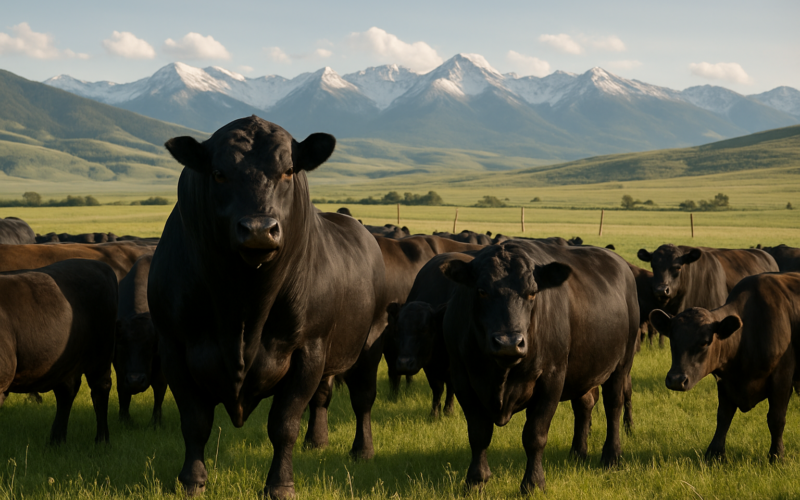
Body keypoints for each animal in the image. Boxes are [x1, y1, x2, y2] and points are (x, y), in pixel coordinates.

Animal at [0, 259, 118, 443]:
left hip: (101, 354)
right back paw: (56, 439)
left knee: (100, 389)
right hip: (64, 362)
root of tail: (99, 264)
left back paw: (102, 440)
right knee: (66, 391)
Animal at [115, 254, 166, 426]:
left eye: (151, 346)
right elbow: (123, 390)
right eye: (123, 344)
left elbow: (159, 388)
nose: (136, 380)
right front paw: (124, 419)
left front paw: (156, 422)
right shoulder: (119, 366)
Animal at [148, 116, 387, 499]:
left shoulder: (307, 349)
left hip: (369, 343)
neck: (244, 311)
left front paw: (280, 484)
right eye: (218, 173)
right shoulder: (175, 348)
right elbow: (195, 421)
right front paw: (191, 480)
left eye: (288, 170)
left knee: (363, 398)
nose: (259, 229)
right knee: (322, 397)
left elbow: (283, 424)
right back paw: (316, 441)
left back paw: (362, 450)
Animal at [441, 241, 639, 493]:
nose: (509, 343)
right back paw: (578, 453)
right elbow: (478, 433)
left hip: (621, 365)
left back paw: (611, 457)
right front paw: (476, 480)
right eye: (482, 291)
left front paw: (534, 482)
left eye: (532, 292)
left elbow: (535, 435)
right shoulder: (462, 379)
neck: (502, 374)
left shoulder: (551, 379)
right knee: (584, 405)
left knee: (613, 406)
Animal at [649, 272, 800, 462]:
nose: (676, 380)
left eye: (705, 342)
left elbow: (776, 418)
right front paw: (715, 453)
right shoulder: (725, 380)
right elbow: (723, 417)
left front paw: (777, 455)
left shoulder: (782, 377)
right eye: (672, 340)